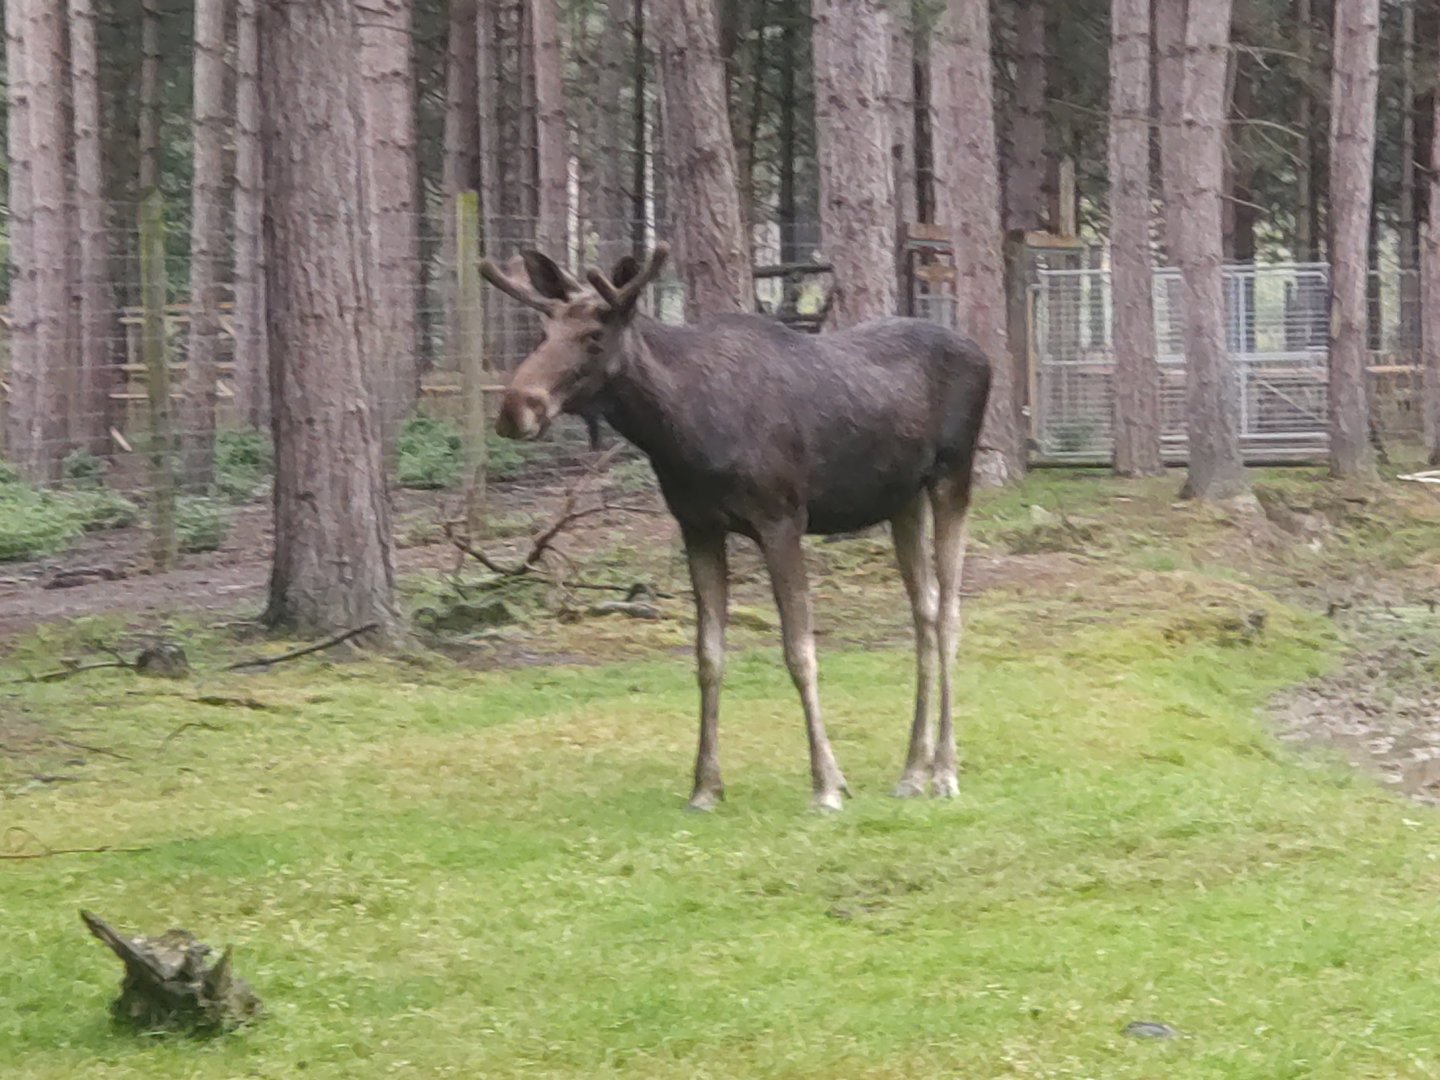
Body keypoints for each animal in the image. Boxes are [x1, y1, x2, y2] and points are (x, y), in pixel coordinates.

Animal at [480, 244, 991, 812]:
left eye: (594, 335)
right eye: (543, 331)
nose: (515, 408)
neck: (679, 433)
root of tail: (983, 354)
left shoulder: (782, 518)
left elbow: (799, 651)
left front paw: (827, 784)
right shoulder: (697, 525)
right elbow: (708, 655)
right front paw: (705, 786)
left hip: (952, 475)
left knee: (949, 614)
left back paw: (944, 771)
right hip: (903, 500)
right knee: (924, 611)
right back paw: (912, 771)